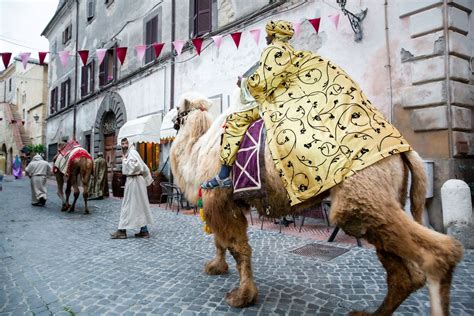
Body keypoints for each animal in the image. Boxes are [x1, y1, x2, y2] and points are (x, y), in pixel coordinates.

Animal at [169, 97, 462, 316]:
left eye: (179, 110)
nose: (171, 117)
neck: (197, 149)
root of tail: (404, 150)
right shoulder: (227, 203)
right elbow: (221, 242)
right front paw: (216, 268)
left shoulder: (218, 198)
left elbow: (237, 248)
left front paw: (242, 296)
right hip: (378, 203)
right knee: (405, 274)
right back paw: (369, 313)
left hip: (360, 198)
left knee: (436, 254)